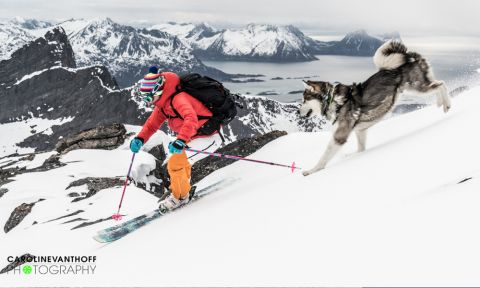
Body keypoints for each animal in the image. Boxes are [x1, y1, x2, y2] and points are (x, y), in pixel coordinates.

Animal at [298, 40, 452, 176]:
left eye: (304, 100)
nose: (298, 112)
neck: (332, 100)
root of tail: (412, 58)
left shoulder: (339, 137)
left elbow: (323, 158)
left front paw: (312, 171)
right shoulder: (360, 131)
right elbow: (360, 149)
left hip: (417, 87)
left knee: (441, 84)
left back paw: (447, 104)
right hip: (416, 88)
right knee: (437, 85)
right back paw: (440, 102)